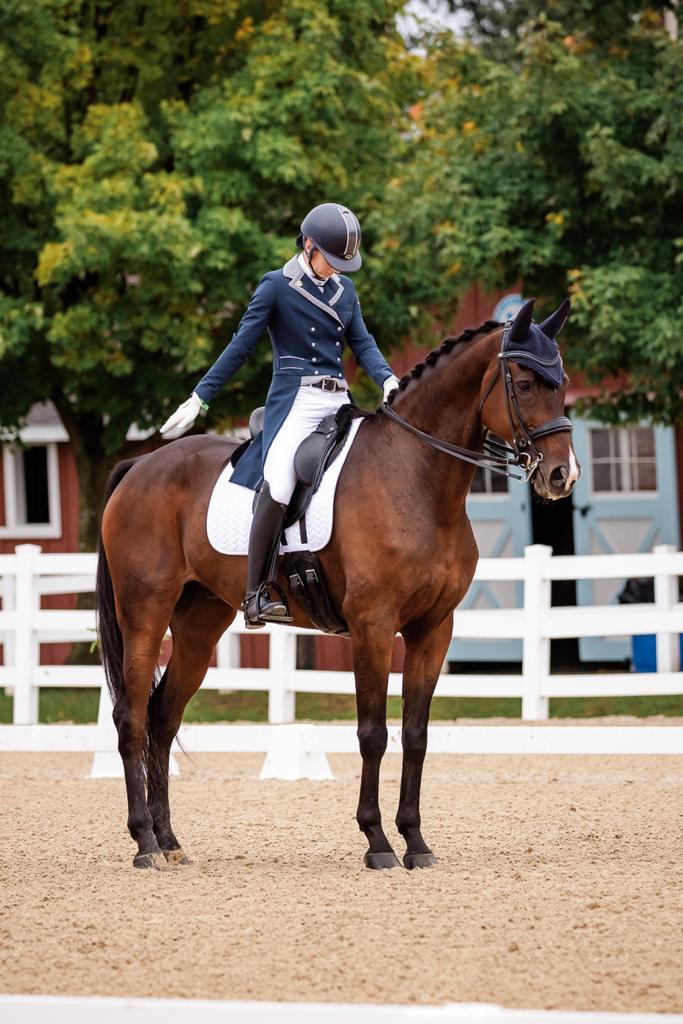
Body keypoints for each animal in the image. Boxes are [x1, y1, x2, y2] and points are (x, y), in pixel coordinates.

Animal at [96, 298, 579, 871]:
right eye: (524, 383)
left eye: (561, 381)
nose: (561, 476)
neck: (416, 477)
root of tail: (139, 465)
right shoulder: (373, 626)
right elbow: (373, 734)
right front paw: (377, 843)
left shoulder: (433, 629)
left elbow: (416, 734)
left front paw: (416, 842)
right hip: (145, 612)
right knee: (131, 715)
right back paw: (145, 843)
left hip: (200, 622)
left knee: (164, 717)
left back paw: (169, 841)